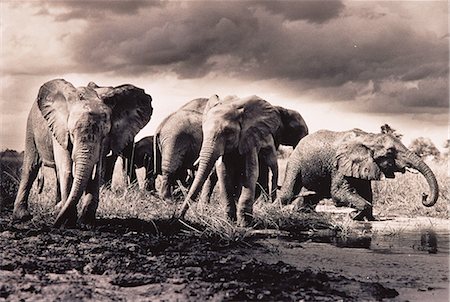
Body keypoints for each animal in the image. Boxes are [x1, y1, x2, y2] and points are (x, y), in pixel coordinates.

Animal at [12, 79, 153, 228]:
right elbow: (67, 170)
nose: (54, 225)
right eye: (72, 134)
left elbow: (97, 172)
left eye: (104, 136)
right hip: (31, 126)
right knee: (31, 167)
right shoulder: (61, 129)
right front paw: (68, 222)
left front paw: (86, 224)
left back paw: (57, 208)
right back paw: (23, 216)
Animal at [178, 95, 282, 226]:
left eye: (228, 132)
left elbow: (250, 173)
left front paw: (244, 225)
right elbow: (224, 173)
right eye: (203, 131)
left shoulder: (249, 140)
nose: (180, 217)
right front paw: (229, 222)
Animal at [276, 129, 438, 221]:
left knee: (313, 195)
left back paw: (302, 212)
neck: (369, 137)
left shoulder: (365, 165)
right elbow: (339, 194)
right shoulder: (339, 164)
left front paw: (369, 219)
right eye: (390, 152)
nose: (424, 195)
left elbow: (367, 193)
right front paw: (354, 215)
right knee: (289, 192)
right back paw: (273, 209)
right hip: (295, 159)